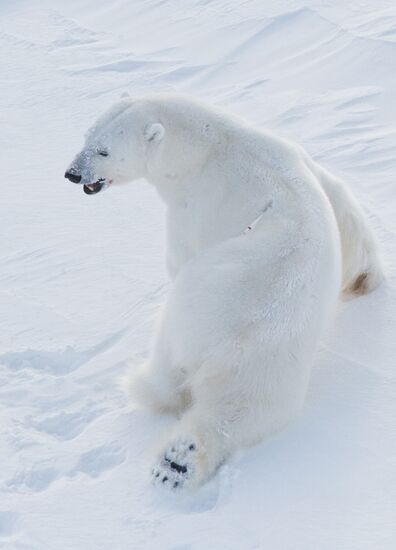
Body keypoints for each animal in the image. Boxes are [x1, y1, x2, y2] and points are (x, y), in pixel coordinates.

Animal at [65, 95, 384, 492]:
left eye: (104, 151)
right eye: (86, 136)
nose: (73, 173)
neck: (207, 143)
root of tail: (220, 341)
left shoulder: (195, 204)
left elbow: (180, 252)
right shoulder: (298, 157)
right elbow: (344, 206)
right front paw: (366, 277)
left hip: (193, 322)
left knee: (175, 378)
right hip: (270, 364)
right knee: (240, 412)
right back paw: (178, 461)